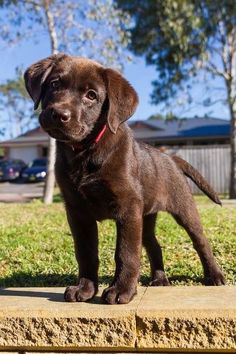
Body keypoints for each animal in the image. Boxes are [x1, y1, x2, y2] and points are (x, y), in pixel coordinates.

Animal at [24, 53, 225, 304]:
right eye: (54, 84)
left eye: (91, 95)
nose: (60, 115)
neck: (85, 151)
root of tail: (170, 157)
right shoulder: (78, 211)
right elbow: (86, 252)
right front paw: (85, 289)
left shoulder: (127, 208)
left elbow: (126, 252)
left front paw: (121, 290)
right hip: (146, 215)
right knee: (153, 244)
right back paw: (159, 279)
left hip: (183, 209)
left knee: (201, 241)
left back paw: (214, 275)